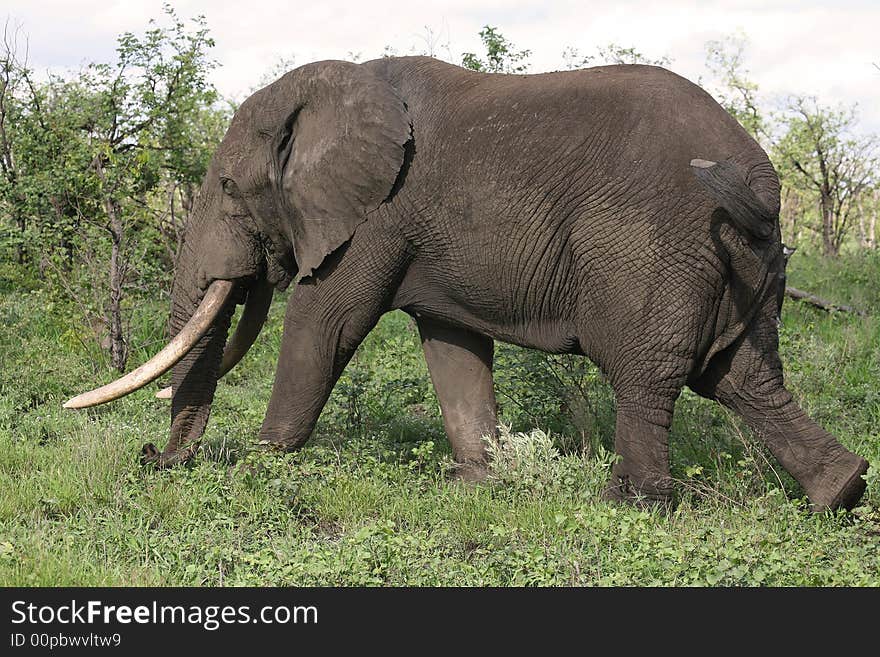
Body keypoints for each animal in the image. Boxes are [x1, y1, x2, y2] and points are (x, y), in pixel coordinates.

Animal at [65, 56, 868, 510]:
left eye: (230, 187)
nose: (154, 458)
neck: (332, 88)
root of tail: (758, 182)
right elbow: (451, 344)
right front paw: (481, 483)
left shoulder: (380, 212)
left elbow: (327, 320)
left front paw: (264, 463)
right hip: (741, 263)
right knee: (743, 375)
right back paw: (841, 491)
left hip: (654, 249)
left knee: (645, 372)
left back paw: (628, 504)